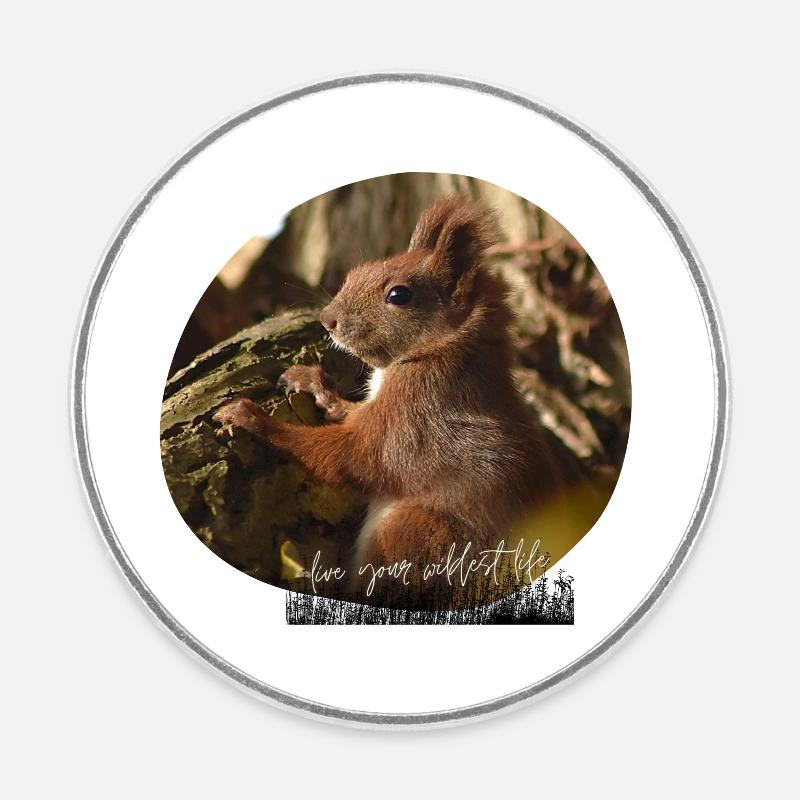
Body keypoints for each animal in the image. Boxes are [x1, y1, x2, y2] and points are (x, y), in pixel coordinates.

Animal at [214, 196, 589, 598]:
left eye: (399, 295)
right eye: (360, 269)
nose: (328, 319)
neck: (440, 352)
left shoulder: (417, 413)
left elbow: (351, 456)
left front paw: (253, 419)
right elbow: (348, 414)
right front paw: (312, 383)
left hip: (417, 532)